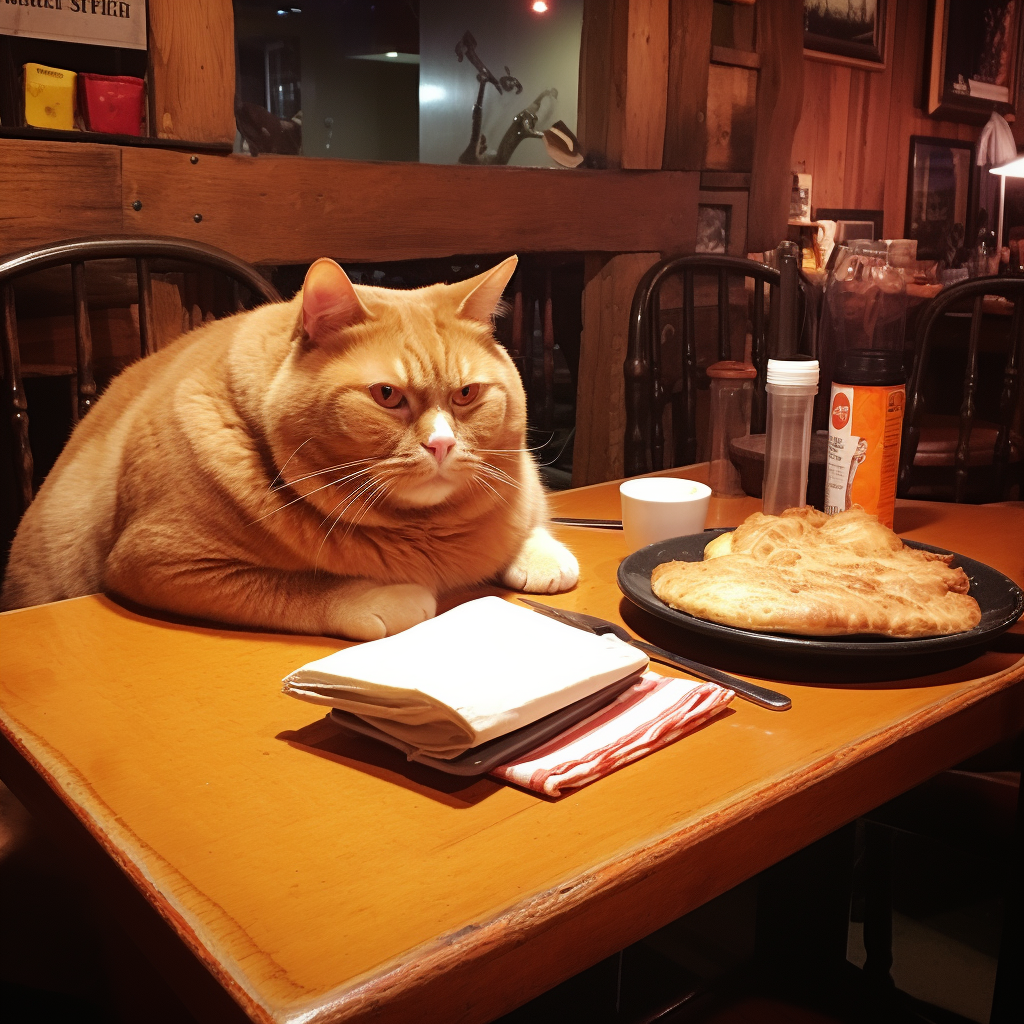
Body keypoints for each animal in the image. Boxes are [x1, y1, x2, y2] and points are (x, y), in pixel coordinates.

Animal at [0, 256, 581, 638]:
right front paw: (382, 595)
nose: (441, 443)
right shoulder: (159, 564)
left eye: (465, 395)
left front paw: (539, 551)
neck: (429, 533)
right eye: (387, 395)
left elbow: (527, 518)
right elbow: (295, 589)